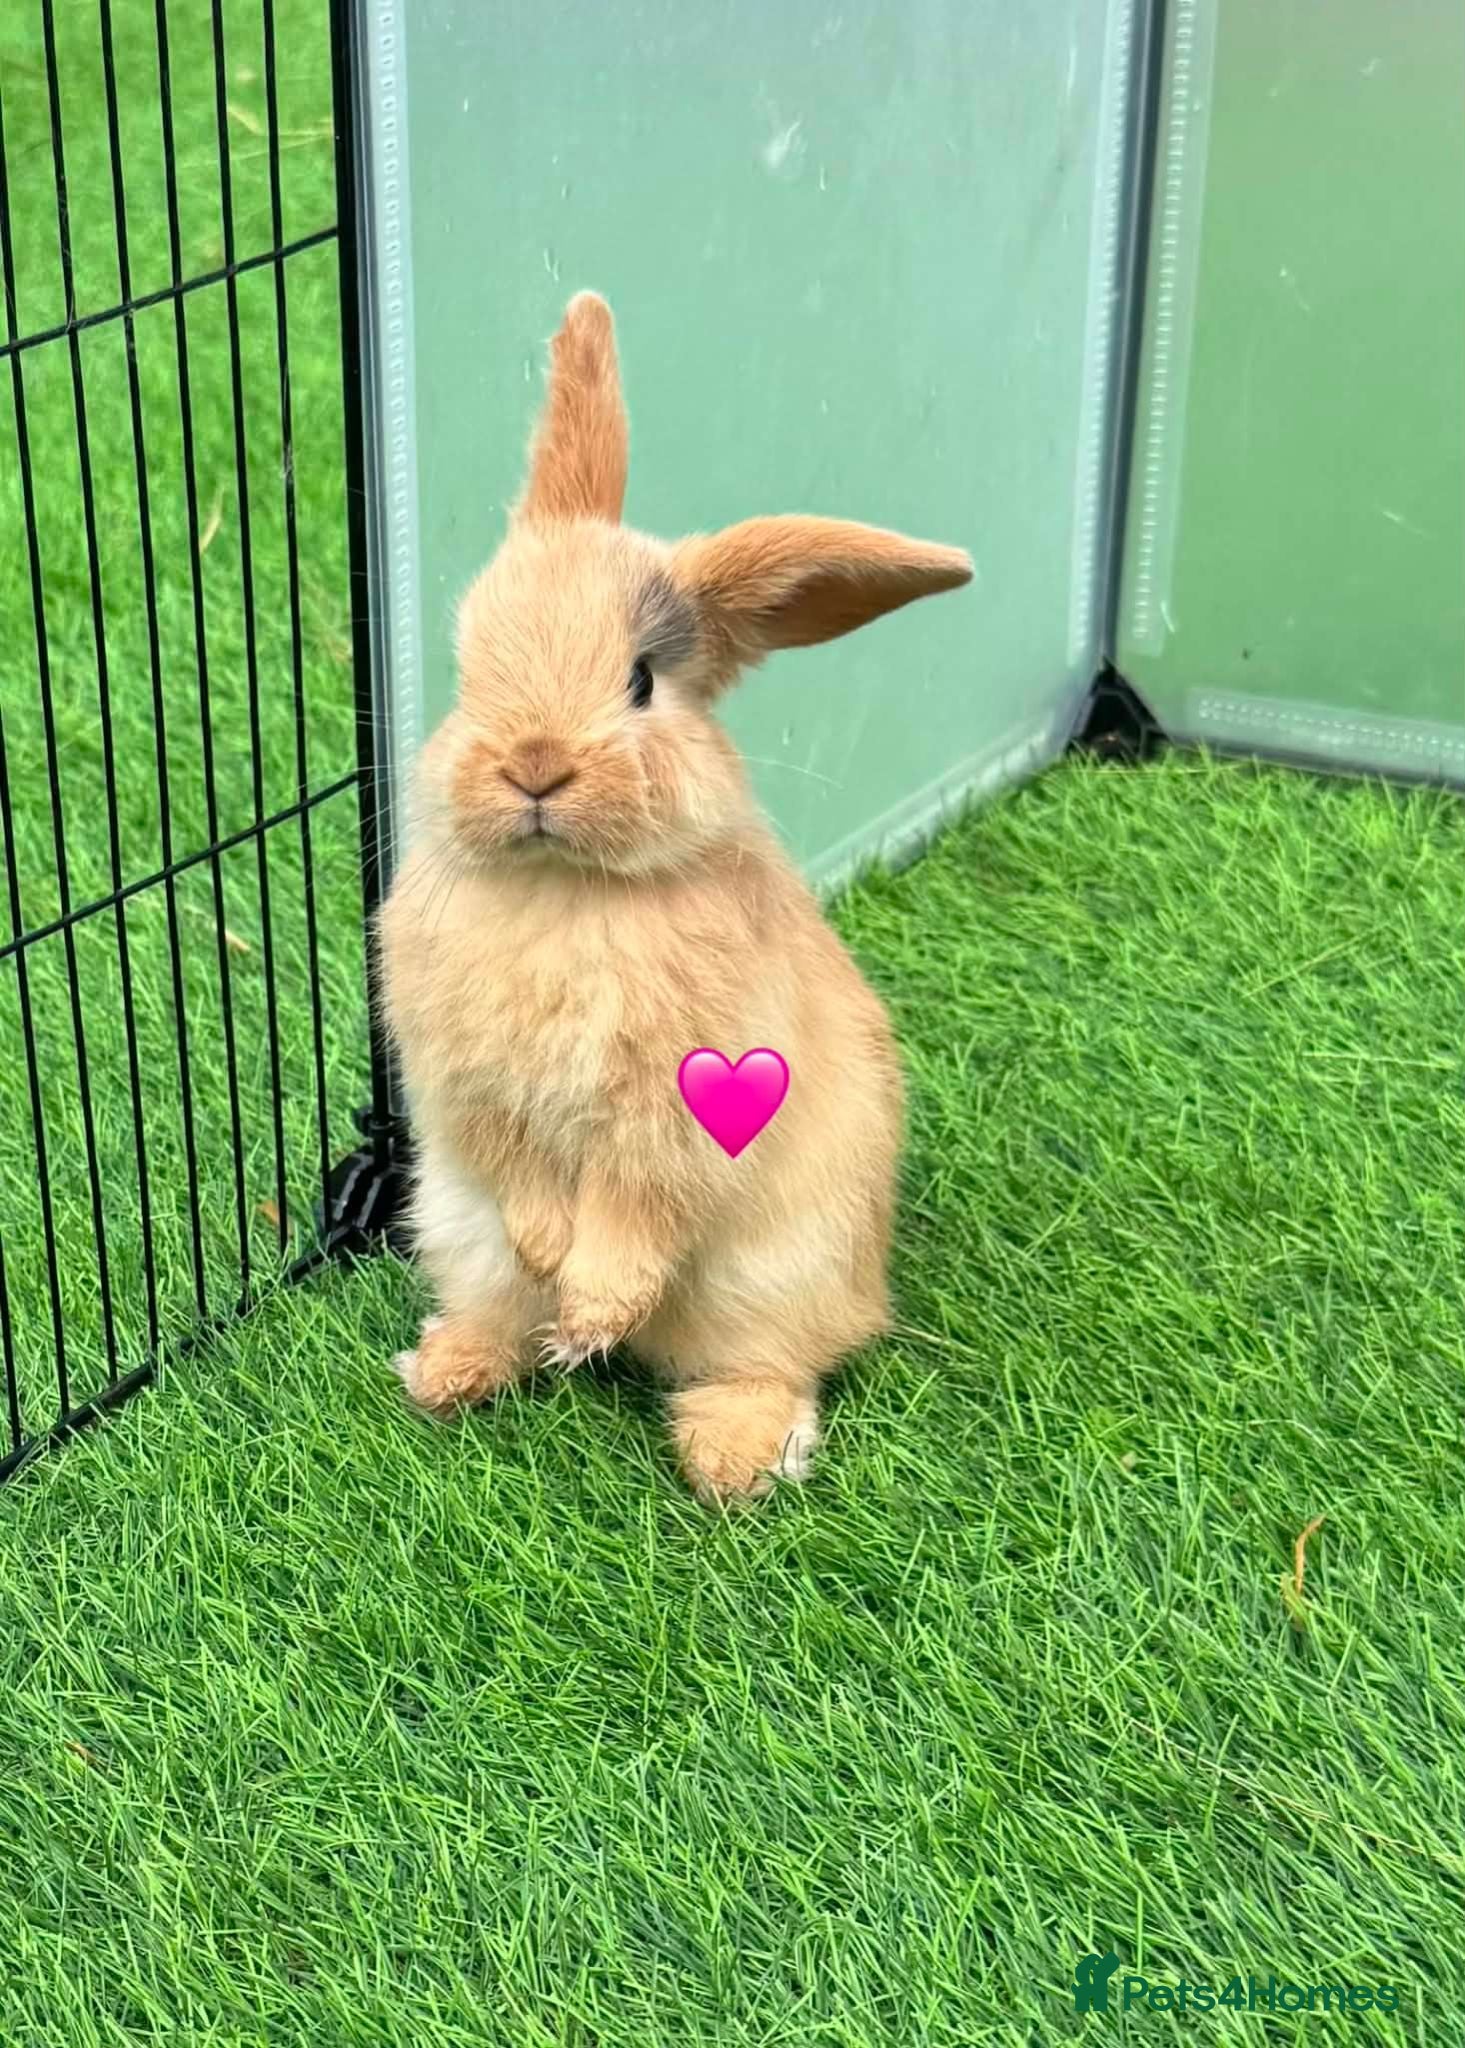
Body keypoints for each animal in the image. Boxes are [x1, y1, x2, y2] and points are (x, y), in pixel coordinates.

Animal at [379, 291, 971, 1503]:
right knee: (498, 1303)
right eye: (469, 667)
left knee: (767, 1363)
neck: (565, 889)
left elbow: (639, 1204)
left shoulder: (680, 1105)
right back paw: (452, 1367)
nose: (535, 764)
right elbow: (528, 1182)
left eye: (642, 680)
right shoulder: (471, 1093)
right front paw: (563, 1287)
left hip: (777, 1273)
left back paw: (728, 1454)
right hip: (453, 1224)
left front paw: (593, 1310)